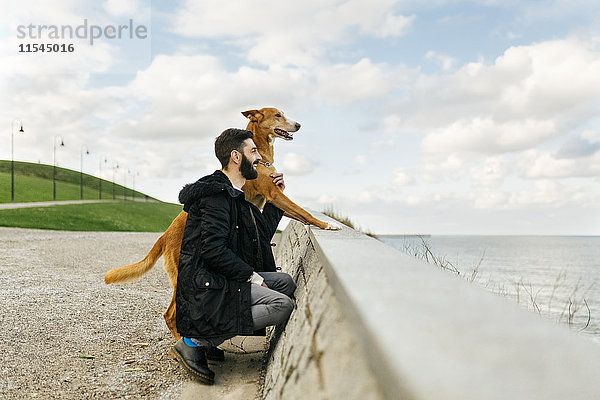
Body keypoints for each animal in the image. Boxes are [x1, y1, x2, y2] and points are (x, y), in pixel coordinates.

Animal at [105, 108, 340, 340]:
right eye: (277, 115)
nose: (298, 125)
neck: (260, 157)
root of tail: (164, 236)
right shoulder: (274, 194)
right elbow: (303, 212)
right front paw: (327, 224)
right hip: (183, 276)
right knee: (170, 314)